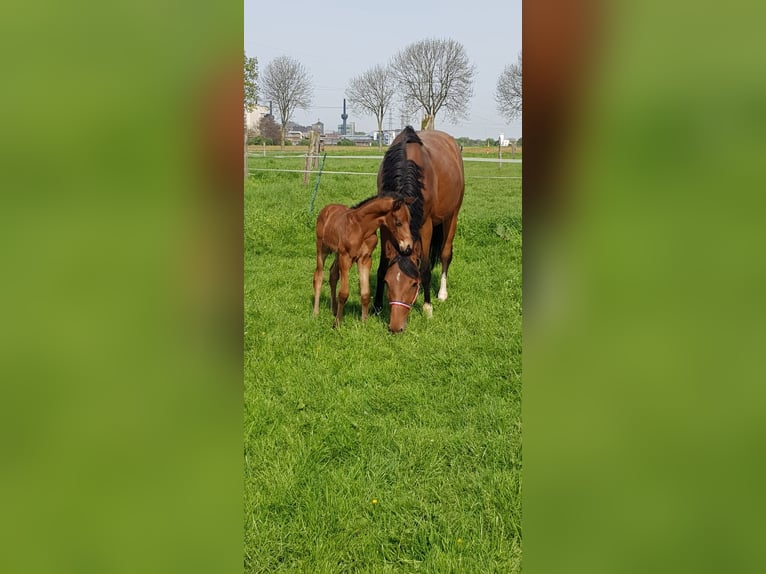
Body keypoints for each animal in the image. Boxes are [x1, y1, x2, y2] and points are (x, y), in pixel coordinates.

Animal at [314, 196, 414, 328]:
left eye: (409, 221)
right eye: (398, 222)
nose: (408, 248)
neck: (361, 228)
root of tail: (327, 208)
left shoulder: (365, 259)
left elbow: (366, 294)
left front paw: (364, 322)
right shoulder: (346, 258)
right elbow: (343, 293)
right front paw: (337, 324)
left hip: (337, 254)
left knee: (333, 274)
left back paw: (333, 310)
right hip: (322, 249)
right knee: (319, 276)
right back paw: (315, 312)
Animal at [374, 127, 464, 332]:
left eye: (413, 285)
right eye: (388, 282)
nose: (396, 327)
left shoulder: (426, 226)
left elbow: (424, 269)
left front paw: (427, 308)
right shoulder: (385, 226)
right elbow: (383, 265)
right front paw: (376, 307)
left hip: (452, 215)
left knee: (445, 254)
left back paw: (441, 294)